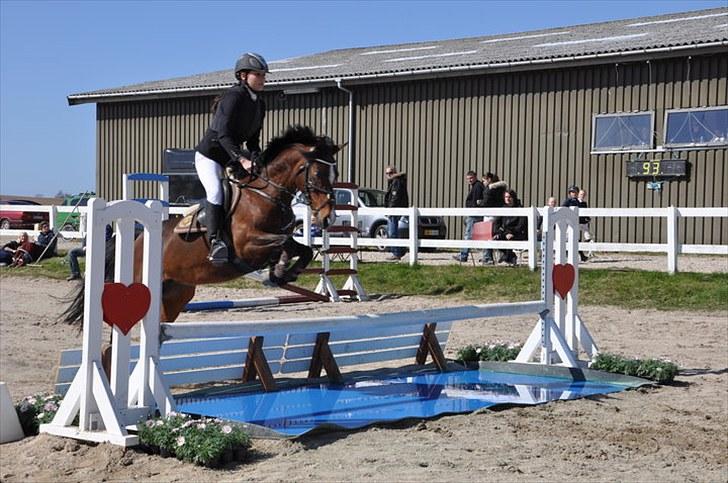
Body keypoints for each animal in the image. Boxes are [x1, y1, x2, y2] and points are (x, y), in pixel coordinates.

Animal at [62, 125, 340, 325]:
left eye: (334, 174)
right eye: (317, 174)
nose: (329, 218)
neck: (266, 195)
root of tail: (136, 240)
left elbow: (302, 249)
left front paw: (284, 273)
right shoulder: (248, 246)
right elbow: (283, 245)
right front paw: (280, 270)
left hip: (175, 293)